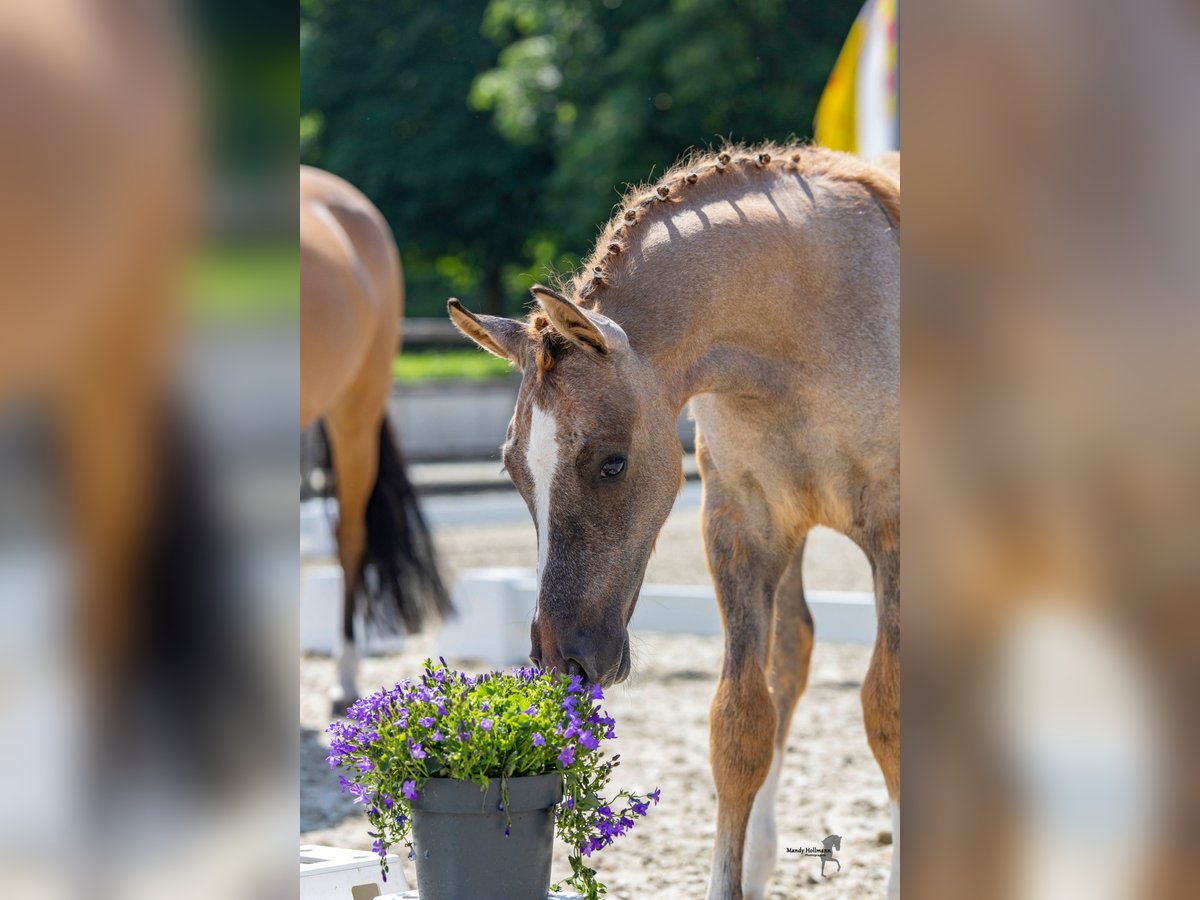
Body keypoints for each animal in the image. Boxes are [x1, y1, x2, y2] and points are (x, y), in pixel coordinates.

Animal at [446, 144, 897, 897]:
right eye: (512, 469)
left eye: (612, 463)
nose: (564, 661)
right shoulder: (743, 527)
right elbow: (739, 724)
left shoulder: (896, 532)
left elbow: (887, 707)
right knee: (791, 654)